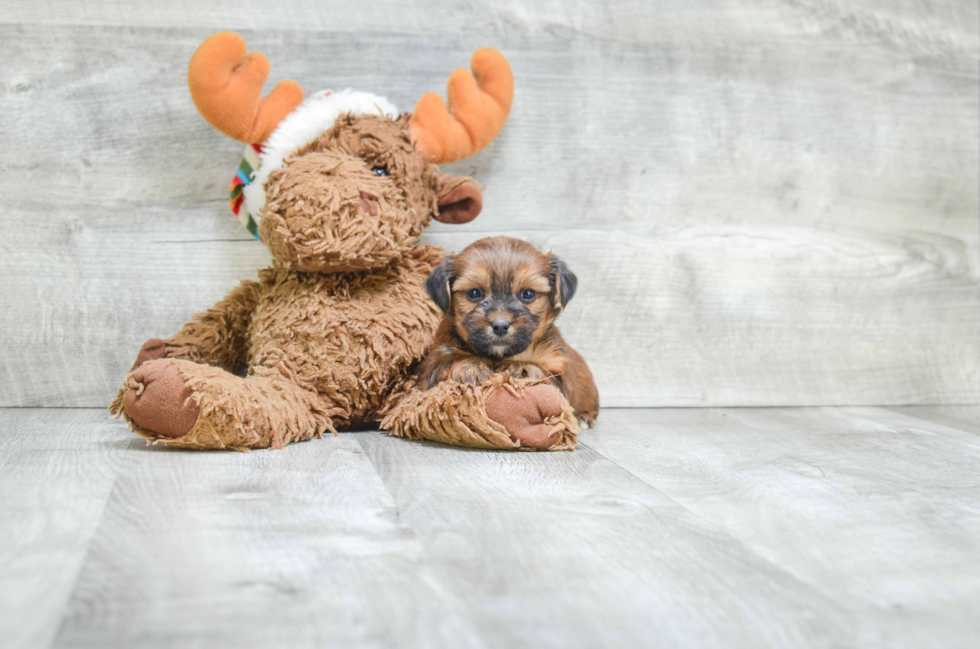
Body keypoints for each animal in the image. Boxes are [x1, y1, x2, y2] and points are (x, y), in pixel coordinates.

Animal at [420, 235, 600, 422]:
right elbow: (448, 363)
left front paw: (520, 368)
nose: (500, 326)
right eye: (474, 293)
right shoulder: (433, 364)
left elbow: (544, 373)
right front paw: (470, 366)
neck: (502, 355)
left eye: (528, 294)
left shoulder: (559, 373)